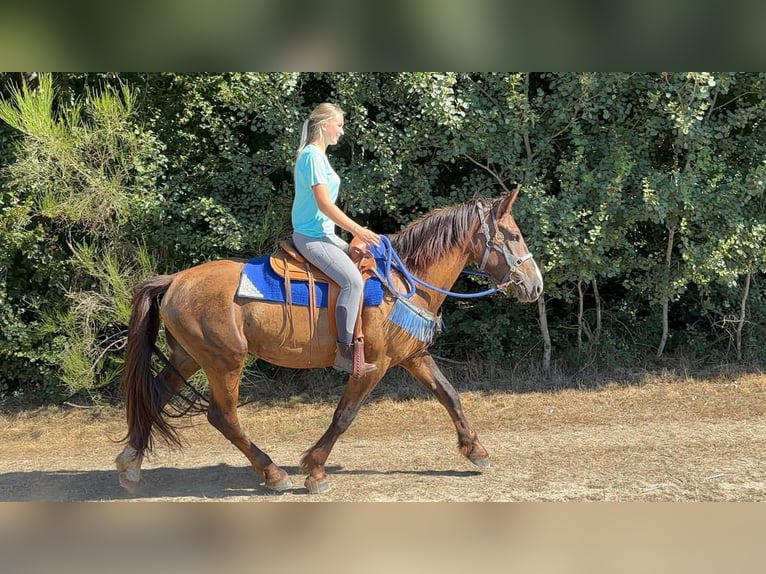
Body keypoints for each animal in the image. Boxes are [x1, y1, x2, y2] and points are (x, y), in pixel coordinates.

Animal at [115, 187, 543, 494]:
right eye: (515, 235)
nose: (535, 285)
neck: (403, 282)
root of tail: (175, 280)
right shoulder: (373, 365)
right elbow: (344, 415)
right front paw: (314, 469)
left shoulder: (414, 356)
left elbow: (450, 395)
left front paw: (476, 451)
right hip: (225, 363)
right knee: (222, 417)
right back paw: (273, 473)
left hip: (187, 357)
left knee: (155, 395)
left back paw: (129, 465)